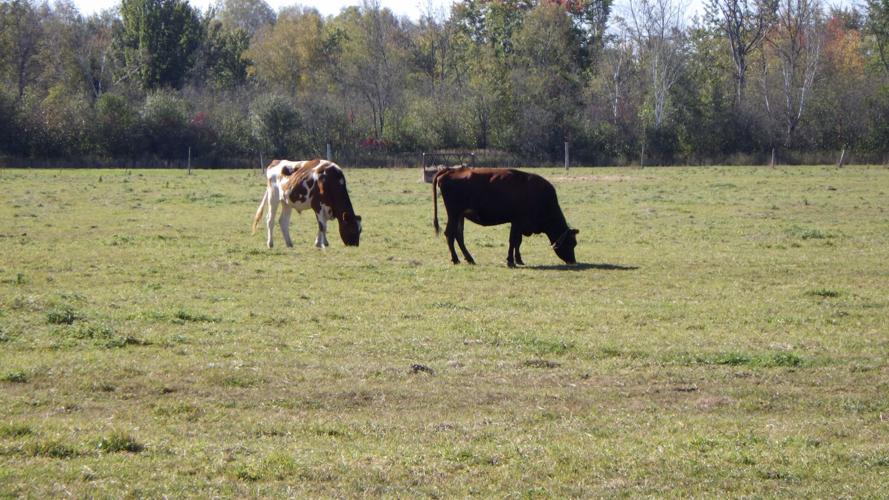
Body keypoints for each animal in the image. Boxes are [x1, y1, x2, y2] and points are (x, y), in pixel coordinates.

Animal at [432, 167, 579, 267]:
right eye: (571, 243)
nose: (573, 261)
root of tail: (451, 170)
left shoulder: (518, 224)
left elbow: (518, 242)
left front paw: (518, 260)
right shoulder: (518, 222)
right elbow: (513, 241)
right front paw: (510, 261)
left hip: (460, 216)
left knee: (459, 235)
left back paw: (470, 259)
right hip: (454, 214)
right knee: (450, 234)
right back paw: (455, 259)